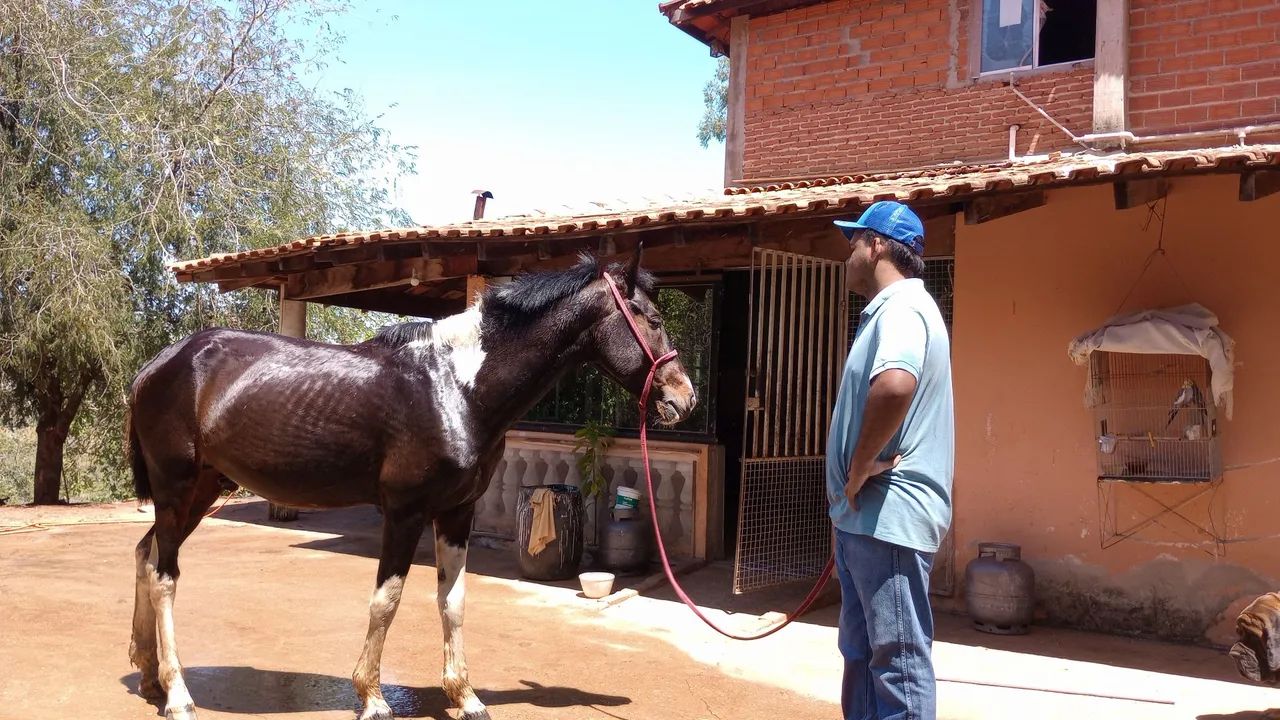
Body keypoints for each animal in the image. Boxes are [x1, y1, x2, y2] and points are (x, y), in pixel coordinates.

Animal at [125, 248, 696, 720]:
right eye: (652, 320)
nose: (684, 398)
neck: (457, 388)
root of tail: (159, 363)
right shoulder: (404, 512)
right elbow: (387, 600)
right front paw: (373, 697)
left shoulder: (457, 513)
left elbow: (454, 599)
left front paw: (465, 697)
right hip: (176, 488)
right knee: (166, 576)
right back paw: (178, 694)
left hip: (201, 490)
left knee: (147, 554)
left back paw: (150, 673)